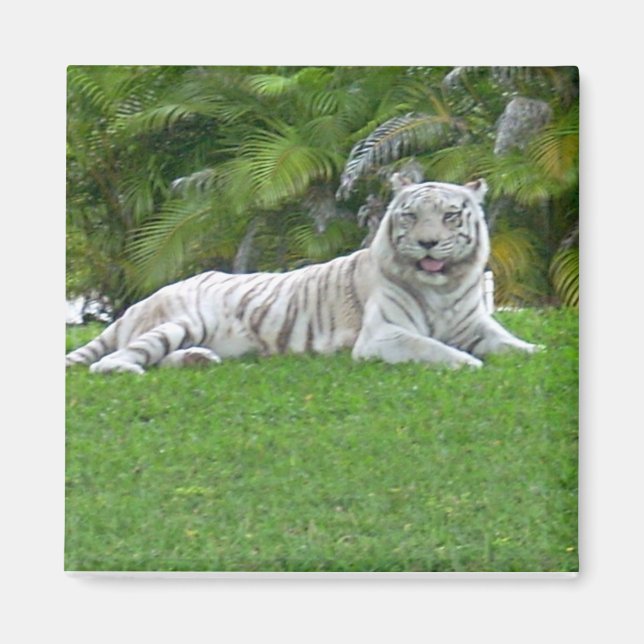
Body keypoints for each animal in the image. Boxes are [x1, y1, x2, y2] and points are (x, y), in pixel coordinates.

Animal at [65, 176, 539, 374]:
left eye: (449, 216)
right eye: (411, 216)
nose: (426, 243)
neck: (443, 287)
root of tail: (136, 305)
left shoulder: (477, 324)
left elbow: (514, 345)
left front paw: (536, 350)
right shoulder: (383, 336)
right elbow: (433, 348)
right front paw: (469, 363)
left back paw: (200, 360)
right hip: (181, 321)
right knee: (115, 360)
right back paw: (127, 370)